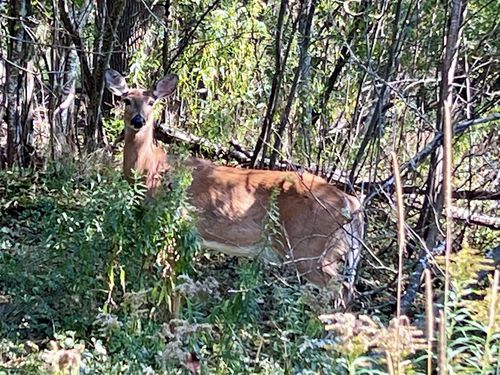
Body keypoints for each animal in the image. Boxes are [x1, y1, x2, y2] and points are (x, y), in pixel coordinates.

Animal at [104, 69, 364, 304]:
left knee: (339, 291)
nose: (138, 120)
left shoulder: (176, 221)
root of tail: (352, 204)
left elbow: (170, 282)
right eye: (126, 99)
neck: (152, 169)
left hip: (312, 249)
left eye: (151, 101)